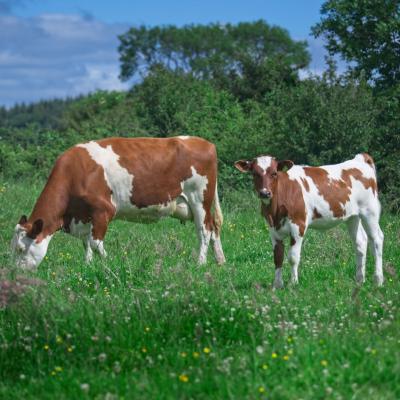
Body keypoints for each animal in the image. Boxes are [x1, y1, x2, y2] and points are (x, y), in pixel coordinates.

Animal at [11, 136, 225, 270]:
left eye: (21, 249)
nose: (15, 274)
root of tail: (206, 143)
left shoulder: (102, 211)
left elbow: (95, 243)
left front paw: (108, 263)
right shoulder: (84, 216)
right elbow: (86, 243)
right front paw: (87, 266)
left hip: (199, 199)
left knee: (204, 231)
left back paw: (200, 263)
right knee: (214, 228)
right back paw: (220, 261)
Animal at [234, 153, 384, 288]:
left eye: (274, 173)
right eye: (255, 173)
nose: (265, 193)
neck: (275, 211)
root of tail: (359, 159)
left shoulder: (298, 226)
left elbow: (293, 257)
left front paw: (293, 283)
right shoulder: (273, 230)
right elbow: (278, 257)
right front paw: (277, 285)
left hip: (370, 211)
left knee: (376, 239)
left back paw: (378, 280)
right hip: (352, 216)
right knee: (360, 242)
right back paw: (359, 280)